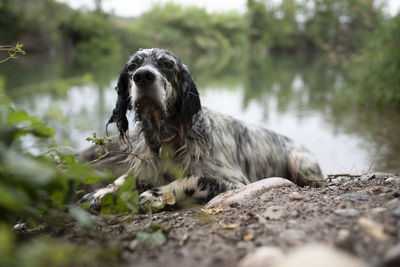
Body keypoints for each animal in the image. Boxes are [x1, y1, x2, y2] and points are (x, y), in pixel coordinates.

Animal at [78, 47, 324, 213]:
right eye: (132, 67)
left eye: (167, 64)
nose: (143, 76)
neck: (170, 140)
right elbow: (124, 179)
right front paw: (100, 192)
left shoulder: (233, 182)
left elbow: (192, 179)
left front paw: (155, 195)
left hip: (298, 161)